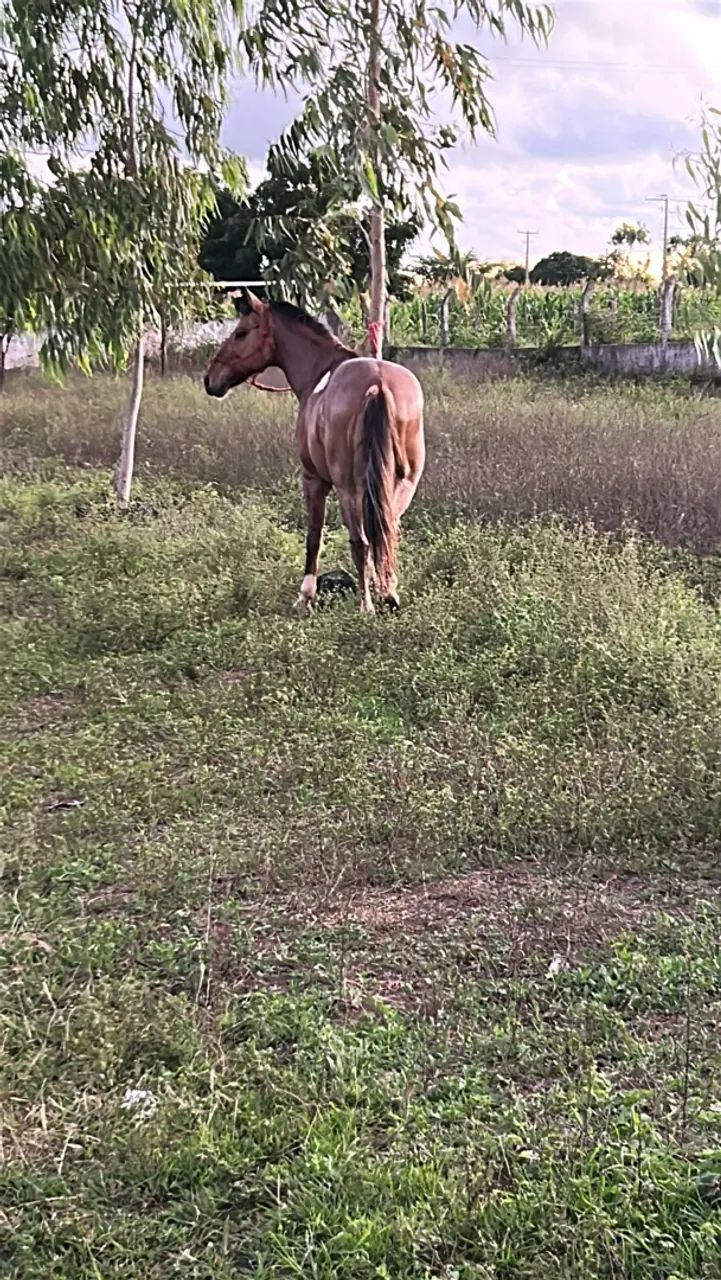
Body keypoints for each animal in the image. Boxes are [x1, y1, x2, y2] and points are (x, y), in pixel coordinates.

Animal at [204, 289, 425, 615]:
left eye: (241, 332)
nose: (210, 379)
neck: (320, 371)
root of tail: (378, 385)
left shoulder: (313, 481)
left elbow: (313, 537)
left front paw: (305, 597)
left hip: (348, 489)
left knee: (361, 542)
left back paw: (366, 606)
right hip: (400, 486)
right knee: (386, 534)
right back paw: (388, 595)